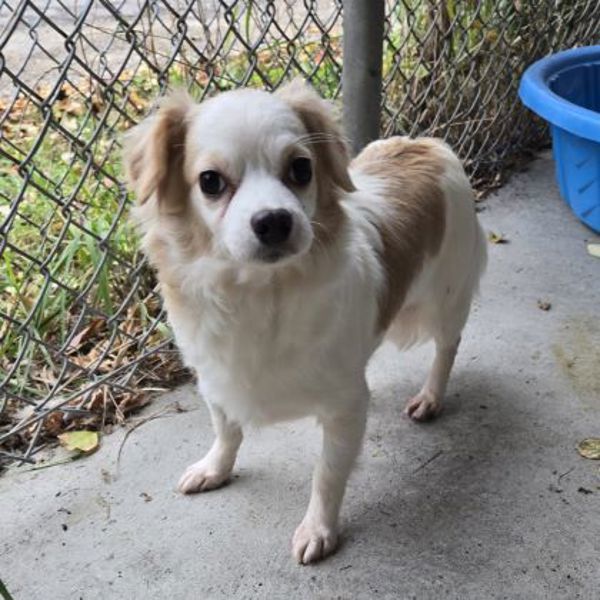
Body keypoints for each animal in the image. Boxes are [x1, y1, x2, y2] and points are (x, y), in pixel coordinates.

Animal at [124, 79, 486, 564]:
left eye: (300, 169)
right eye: (210, 182)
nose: (274, 220)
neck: (259, 293)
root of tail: (428, 144)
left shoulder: (344, 408)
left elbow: (328, 473)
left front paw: (319, 529)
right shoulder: (215, 377)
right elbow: (225, 428)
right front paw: (215, 468)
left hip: (446, 300)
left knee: (448, 346)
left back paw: (431, 396)